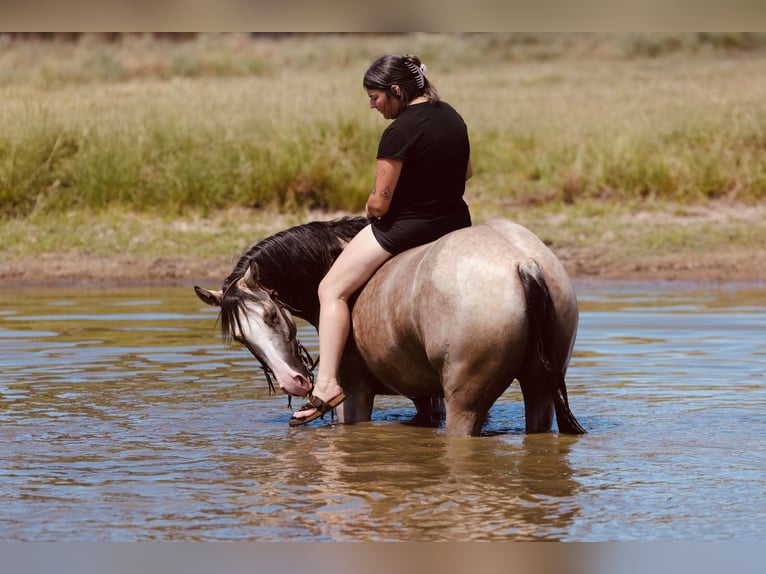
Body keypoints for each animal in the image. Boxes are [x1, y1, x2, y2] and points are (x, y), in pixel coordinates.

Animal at [194, 216, 586, 437]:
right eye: (242, 338)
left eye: (272, 316)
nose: (294, 382)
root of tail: (522, 262)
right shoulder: (425, 397)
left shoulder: (354, 395)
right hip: (540, 389)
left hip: (466, 404)